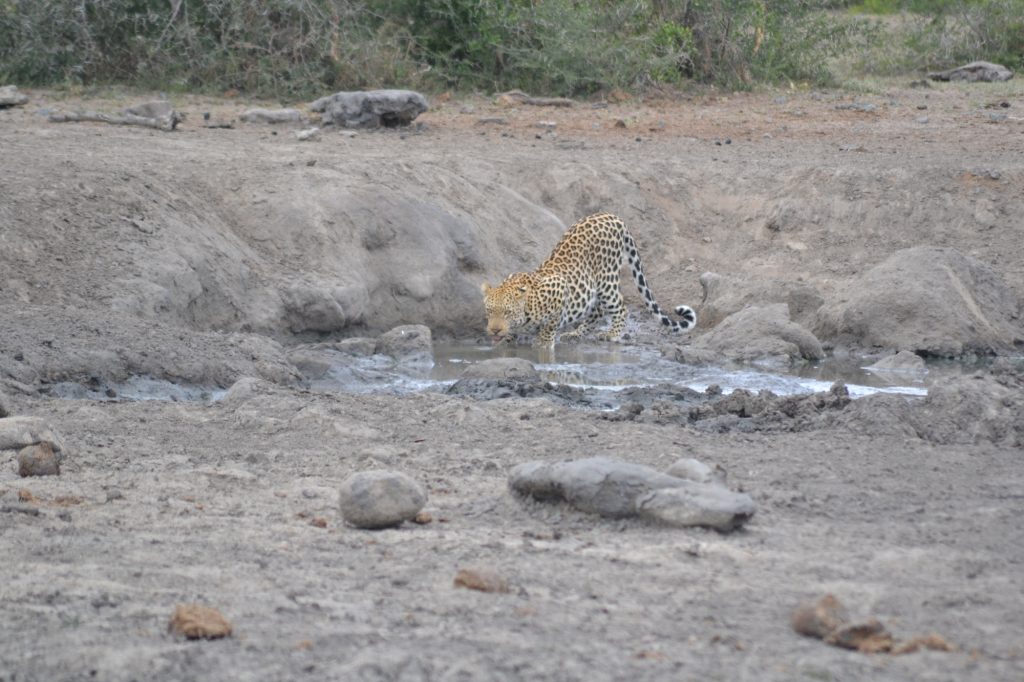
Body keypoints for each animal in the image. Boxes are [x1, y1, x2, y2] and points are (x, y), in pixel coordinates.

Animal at [481, 212, 697, 348]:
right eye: (489, 311)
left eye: (507, 312)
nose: (495, 331)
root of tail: (613, 217)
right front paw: (507, 339)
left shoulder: (558, 290)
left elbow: (549, 328)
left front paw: (542, 342)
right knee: (597, 310)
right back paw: (575, 333)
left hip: (607, 281)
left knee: (620, 307)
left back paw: (612, 334)